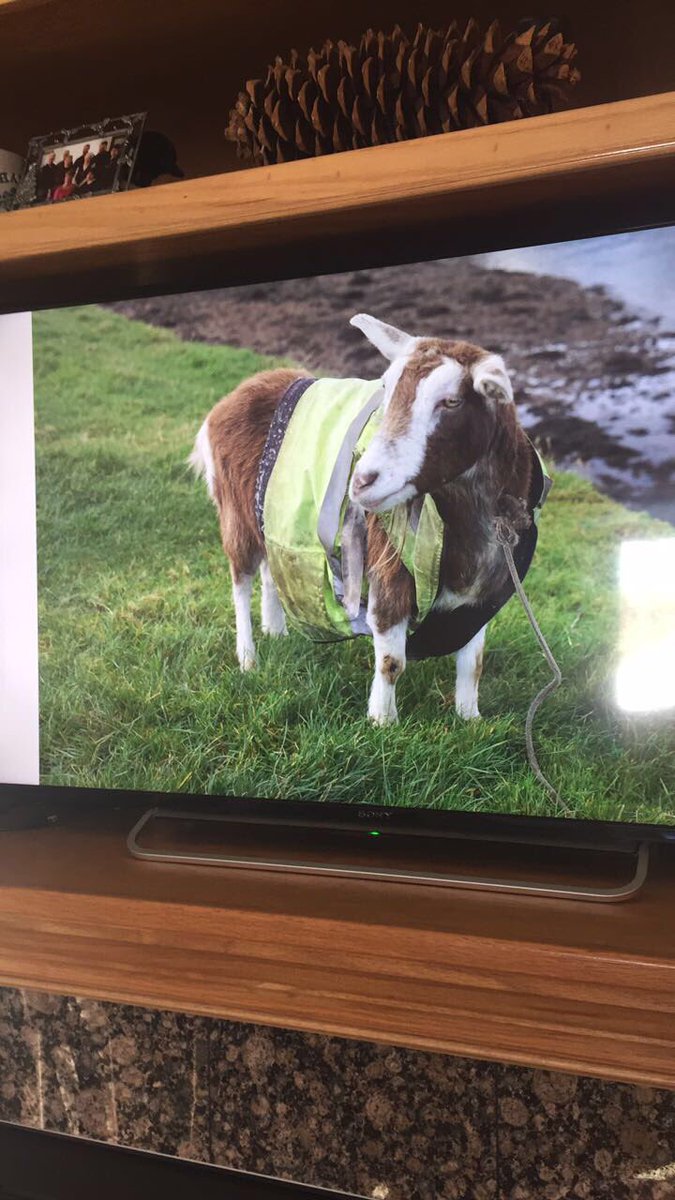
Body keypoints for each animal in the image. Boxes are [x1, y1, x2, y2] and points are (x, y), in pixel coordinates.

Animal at [191, 314, 540, 724]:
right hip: (236, 510)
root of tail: (233, 397)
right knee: (240, 580)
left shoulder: (482, 595)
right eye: (385, 391)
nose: (361, 481)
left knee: (272, 566)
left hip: (276, 511)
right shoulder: (391, 569)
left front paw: (470, 718)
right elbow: (392, 661)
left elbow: (474, 663)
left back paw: (275, 629)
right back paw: (248, 657)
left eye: (452, 401)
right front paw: (382, 721)